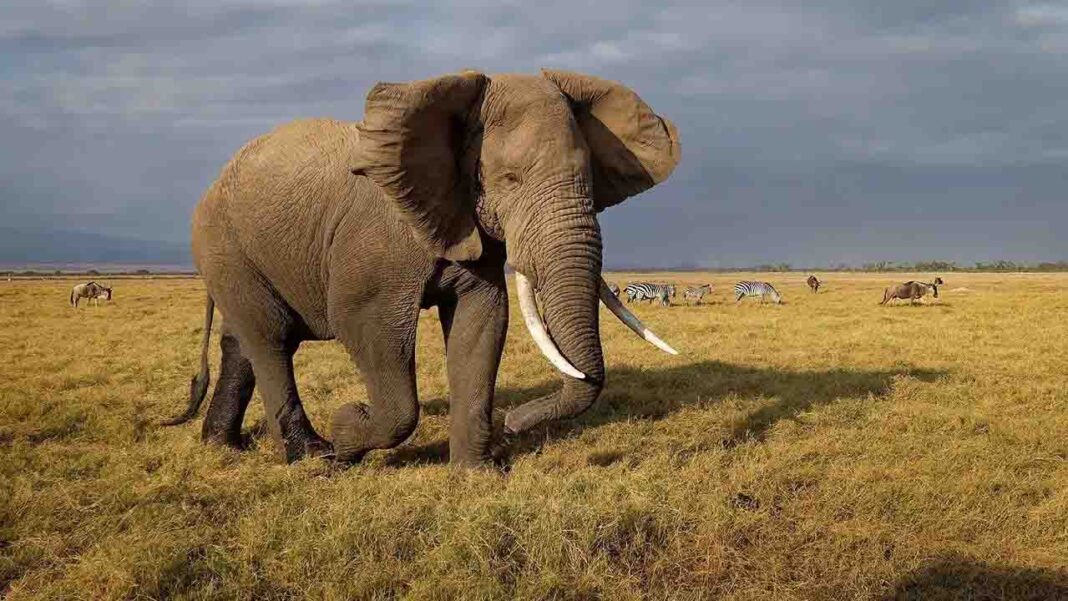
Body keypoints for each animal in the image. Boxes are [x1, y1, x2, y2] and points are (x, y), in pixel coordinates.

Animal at [161, 69, 681, 465]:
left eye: (589, 179)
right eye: (509, 180)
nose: (514, 424)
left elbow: (482, 321)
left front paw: (476, 475)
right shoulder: (378, 240)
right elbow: (368, 328)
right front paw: (348, 428)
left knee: (243, 343)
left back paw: (222, 446)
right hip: (222, 245)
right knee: (269, 341)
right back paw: (312, 455)